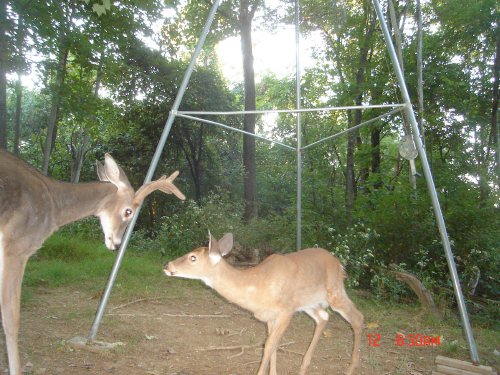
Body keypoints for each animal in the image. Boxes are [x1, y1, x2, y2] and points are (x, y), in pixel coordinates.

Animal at [164, 232, 364, 375]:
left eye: (193, 257)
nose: (167, 266)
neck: (256, 286)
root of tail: (338, 263)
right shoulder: (269, 317)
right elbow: (272, 346)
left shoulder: (285, 312)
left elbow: (268, 346)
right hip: (309, 303)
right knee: (323, 317)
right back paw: (303, 367)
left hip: (335, 291)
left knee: (358, 317)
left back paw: (350, 369)